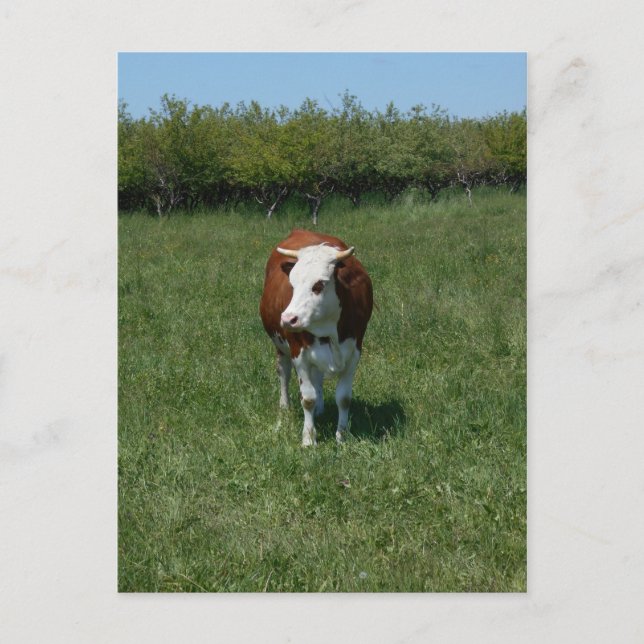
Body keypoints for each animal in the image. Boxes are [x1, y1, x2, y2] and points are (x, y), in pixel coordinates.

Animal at [260, 229, 373, 446]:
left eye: (319, 284)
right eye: (292, 284)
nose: (288, 319)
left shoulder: (354, 352)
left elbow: (343, 398)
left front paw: (341, 436)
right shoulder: (299, 354)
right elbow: (308, 398)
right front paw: (308, 438)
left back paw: (320, 409)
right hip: (280, 346)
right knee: (284, 373)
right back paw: (285, 407)